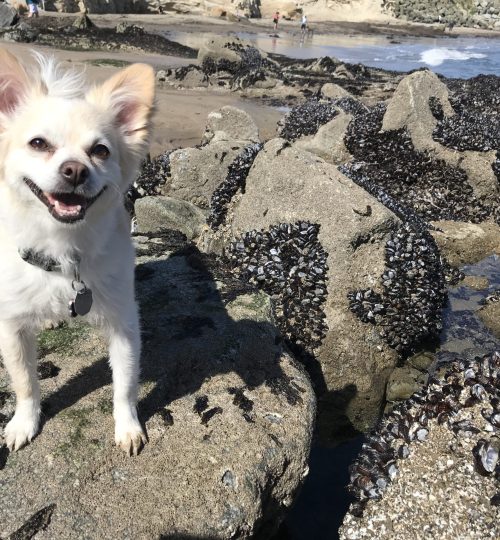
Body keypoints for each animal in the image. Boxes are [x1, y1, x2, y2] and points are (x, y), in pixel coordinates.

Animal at [0, 50, 155, 456]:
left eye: (100, 151)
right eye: (38, 143)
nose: (75, 170)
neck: (62, 250)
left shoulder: (124, 322)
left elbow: (125, 384)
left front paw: (127, 427)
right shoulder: (11, 326)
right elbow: (24, 381)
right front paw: (24, 423)